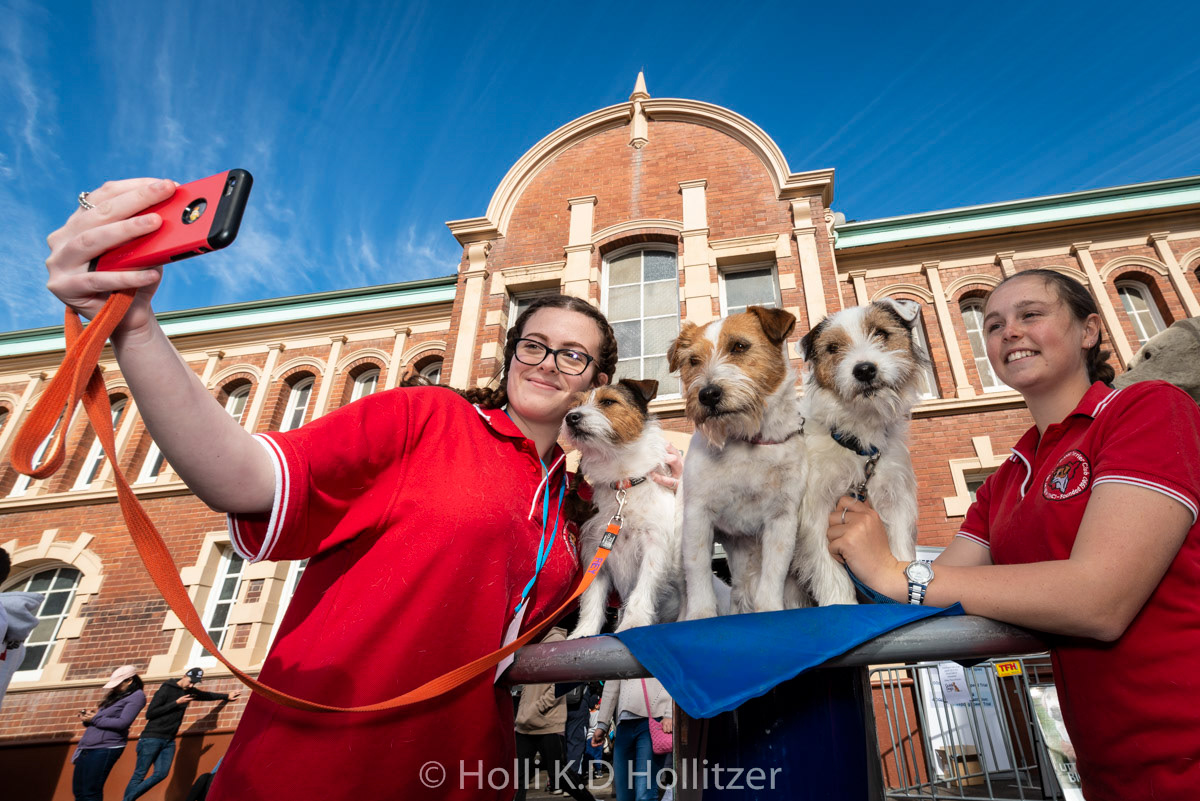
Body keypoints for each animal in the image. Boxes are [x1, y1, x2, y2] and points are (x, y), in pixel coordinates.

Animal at [561, 379, 688, 636]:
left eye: (608, 402)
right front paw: (583, 632)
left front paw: (633, 623)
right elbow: (591, 597)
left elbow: (642, 591)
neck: (623, 482)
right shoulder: (595, 551)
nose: (571, 417)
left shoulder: (654, 546)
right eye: (576, 404)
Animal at [669, 306, 807, 618]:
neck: (746, 441)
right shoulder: (698, 516)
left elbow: (774, 573)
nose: (708, 394)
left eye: (740, 346)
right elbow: (698, 573)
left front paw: (770, 609)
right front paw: (701, 616)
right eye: (693, 360)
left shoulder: (782, 519)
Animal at [792, 299, 924, 606]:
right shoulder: (816, 514)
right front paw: (840, 604)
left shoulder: (895, 503)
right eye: (833, 348)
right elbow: (830, 572)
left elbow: (900, 553)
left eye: (881, 333)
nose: (864, 370)